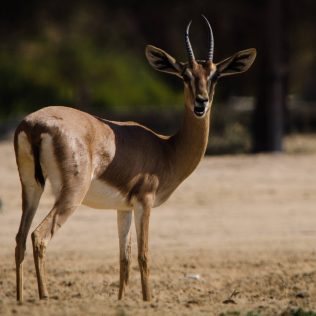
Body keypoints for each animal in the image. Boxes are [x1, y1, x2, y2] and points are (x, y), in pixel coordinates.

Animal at [15, 16, 256, 302]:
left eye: (215, 76)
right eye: (185, 75)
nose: (201, 103)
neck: (166, 149)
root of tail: (33, 125)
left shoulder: (123, 208)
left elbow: (124, 259)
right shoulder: (145, 202)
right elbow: (144, 256)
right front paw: (148, 300)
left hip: (31, 188)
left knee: (19, 238)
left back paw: (19, 299)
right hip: (71, 195)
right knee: (39, 237)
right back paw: (44, 298)